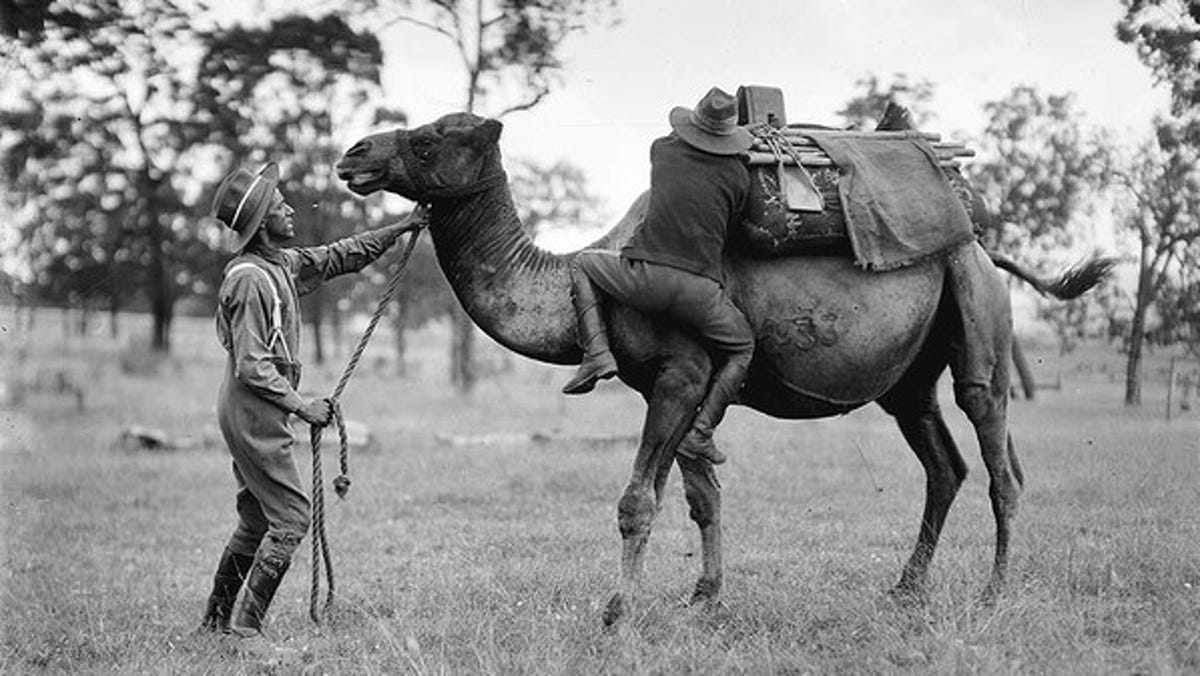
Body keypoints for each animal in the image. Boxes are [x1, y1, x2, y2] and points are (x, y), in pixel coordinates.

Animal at [333, 113, 1108, 629]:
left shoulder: (680, 373)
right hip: (908, 377)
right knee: (943, 463)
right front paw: (702, 599)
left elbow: (637, 500)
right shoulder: (677, 383)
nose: (353, 153)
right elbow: (700, 495)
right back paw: (906, 588)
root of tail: (980, 241)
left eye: (429, 138)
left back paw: (993, 593)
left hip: (977, 318)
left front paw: (616, 612)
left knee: (997, 454)